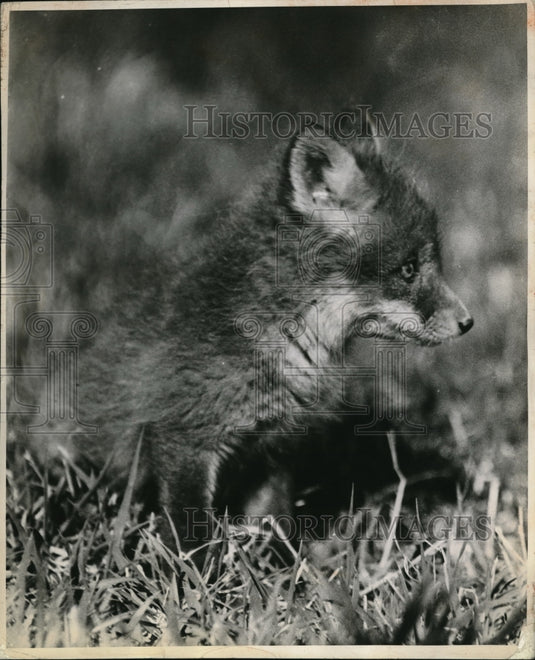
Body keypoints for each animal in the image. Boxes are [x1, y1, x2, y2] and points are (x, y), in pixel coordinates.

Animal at [36, 116, 473, 549]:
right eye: (408, 269)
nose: (467, 323)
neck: (287, 335)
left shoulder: (275, 447)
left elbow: (274, 523)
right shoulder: (185, 437)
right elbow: (191, 533)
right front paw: (192, 570)